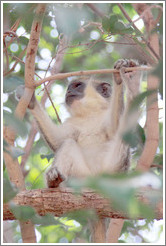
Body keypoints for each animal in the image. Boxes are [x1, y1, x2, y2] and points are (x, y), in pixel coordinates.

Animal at [22, 59, 143, 242]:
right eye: (70, 87)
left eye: (77, 85)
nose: (68, 91)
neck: (89, 115)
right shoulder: (72, 123)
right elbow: (58, 141)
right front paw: (30, 101)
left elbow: (117, 130)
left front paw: (123, 80)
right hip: (80, 178)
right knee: (68, 144)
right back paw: (54, 181)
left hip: (115, 170)